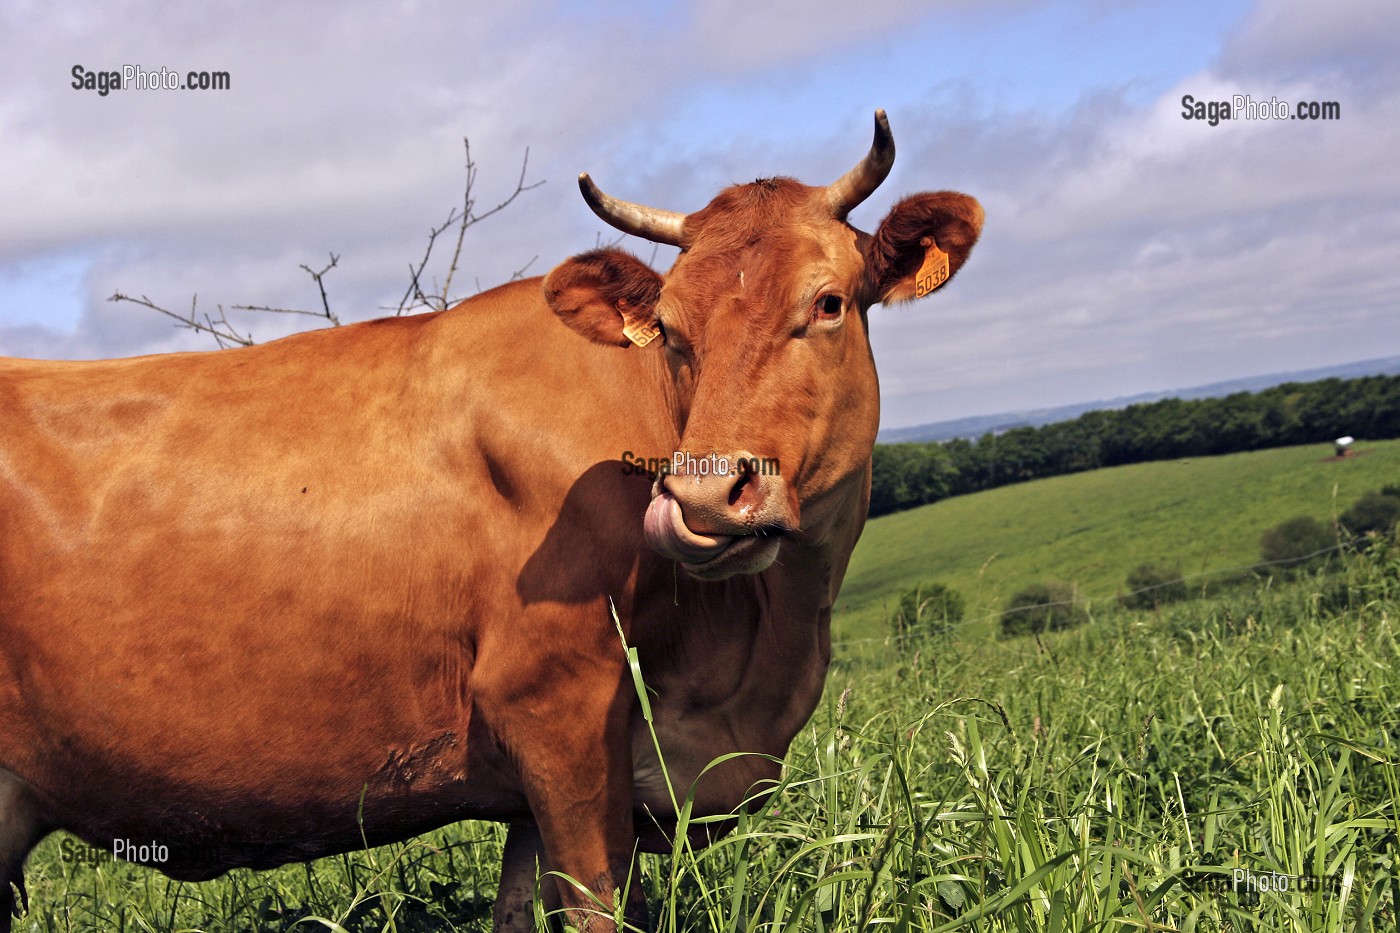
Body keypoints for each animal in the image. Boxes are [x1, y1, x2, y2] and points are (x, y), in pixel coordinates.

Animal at [0, 110, 980, 930]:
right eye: (669, 328)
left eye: (829, 301)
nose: (703, 498)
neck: (759, 652)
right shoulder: (553, 706)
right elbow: (600, 911)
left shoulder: (535, 792)